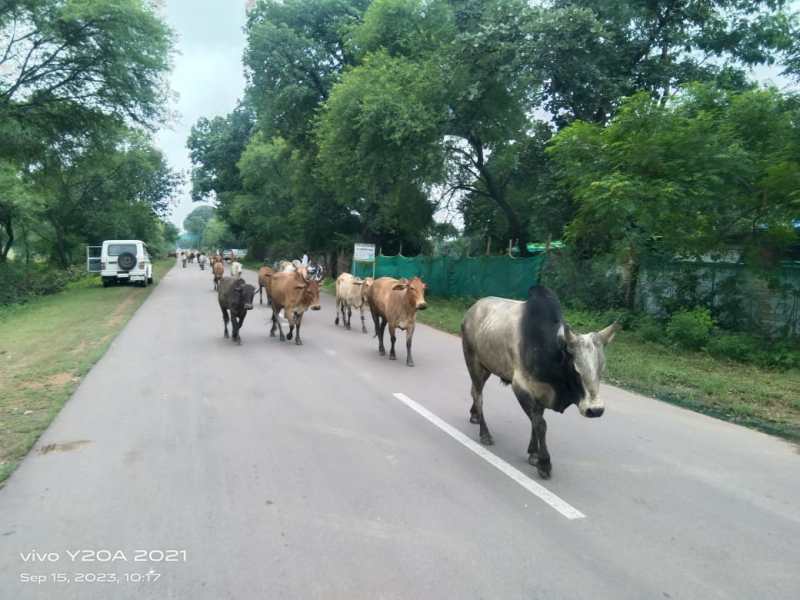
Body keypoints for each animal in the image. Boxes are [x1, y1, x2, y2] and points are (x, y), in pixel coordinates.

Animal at [460, 285, 620, 479]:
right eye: (576, 369)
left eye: (601, 368)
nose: (595, 410)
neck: (550, 351)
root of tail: (472, 309)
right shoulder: (521, 387)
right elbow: (540, 424)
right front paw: (544, 463)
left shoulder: (542, 393)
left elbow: (535, 422)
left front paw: (533, 453)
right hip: (474, 362)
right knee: (478, 395)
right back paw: (485, 433)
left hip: (486, 367)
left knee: (473, 391)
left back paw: (475, 415)